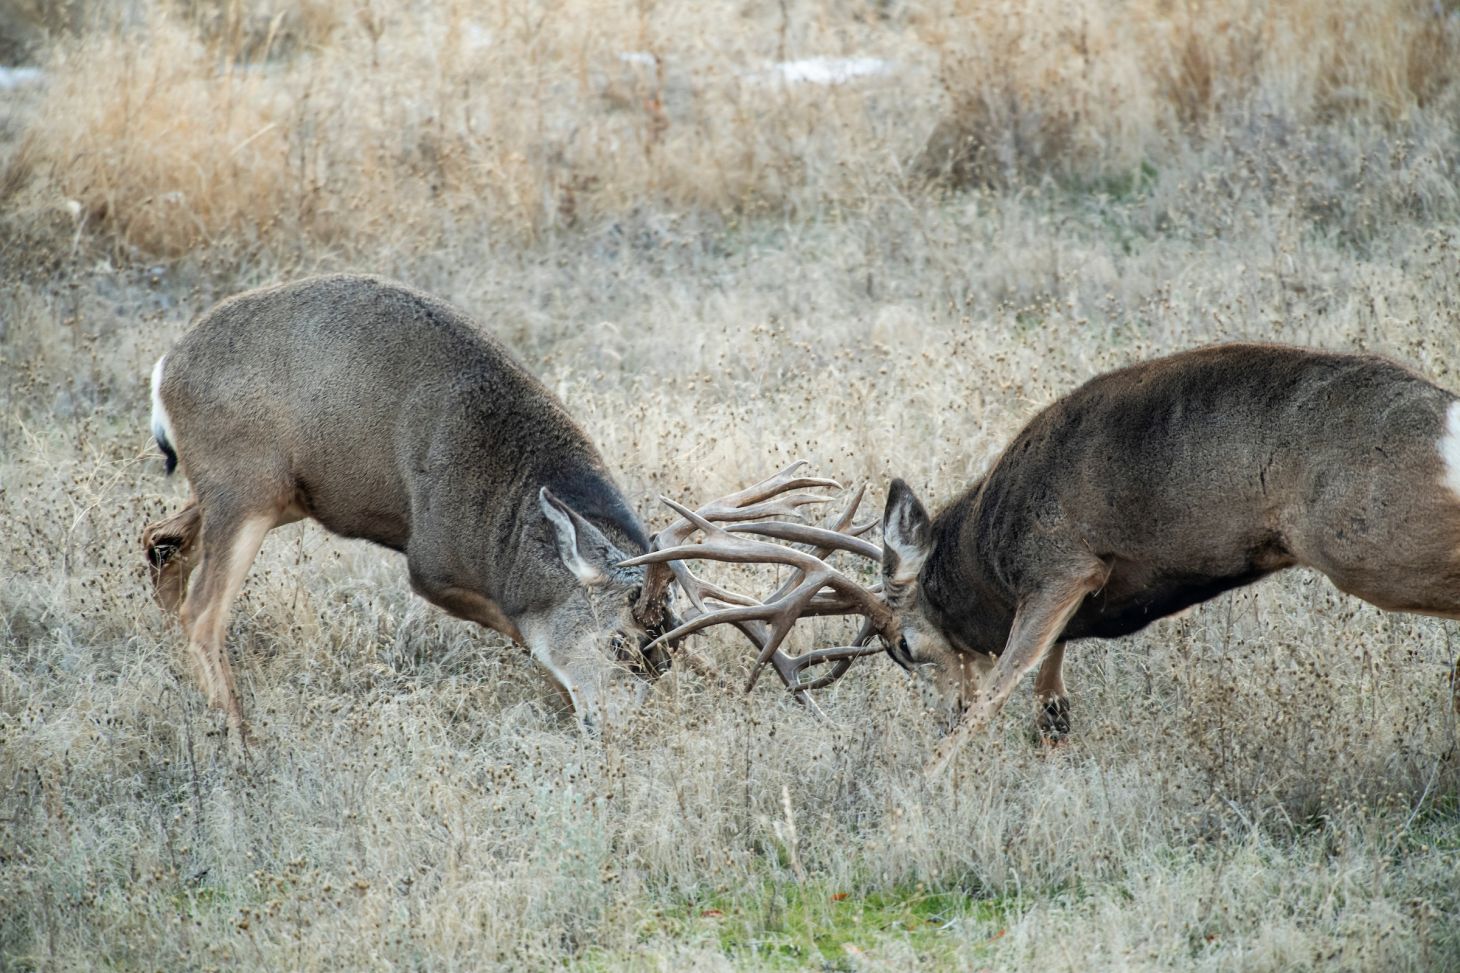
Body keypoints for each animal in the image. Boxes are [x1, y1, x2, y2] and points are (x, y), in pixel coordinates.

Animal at [141, 274, 675, 738]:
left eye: (666, 658)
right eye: (620, 642)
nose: (620, 730)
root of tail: (165, 369)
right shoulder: (432, 566)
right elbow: (526, 636)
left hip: (274, 496)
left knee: (160, 541)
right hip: (245, 489)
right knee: (202, 611)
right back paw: (240, 741)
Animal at [629, 344, 1460, 771]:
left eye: (906, 648)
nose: (937, 713)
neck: (983, 553)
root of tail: (1445, 417)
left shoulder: (1063, 562)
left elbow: (1005, 680)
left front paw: (930, 778)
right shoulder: (1069, 593)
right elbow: (1047, 688)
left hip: (1367, 541)